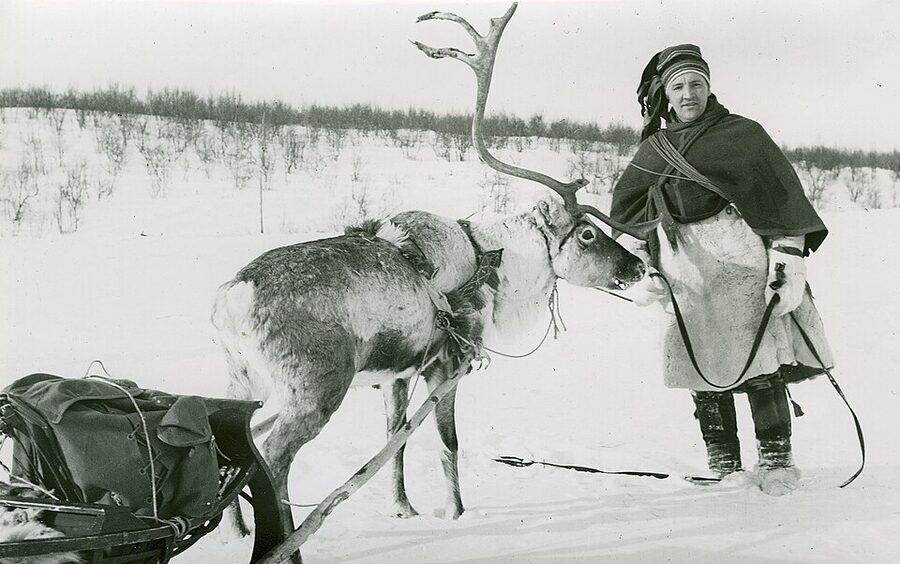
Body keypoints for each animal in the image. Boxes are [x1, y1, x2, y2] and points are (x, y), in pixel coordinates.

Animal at [211, 2, 647, 540]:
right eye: (587, 233)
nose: (638, 265)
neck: (492, 266)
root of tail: (234, 295)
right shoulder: (448, 364)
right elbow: (447, 442)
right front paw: (455, 514)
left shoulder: (396, 375)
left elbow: (393, 440)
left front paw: (403, 508)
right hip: (314, 387)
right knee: (273, 457)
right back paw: (287, 540)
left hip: (243, 379)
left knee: (233, 439)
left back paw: (236, 531)